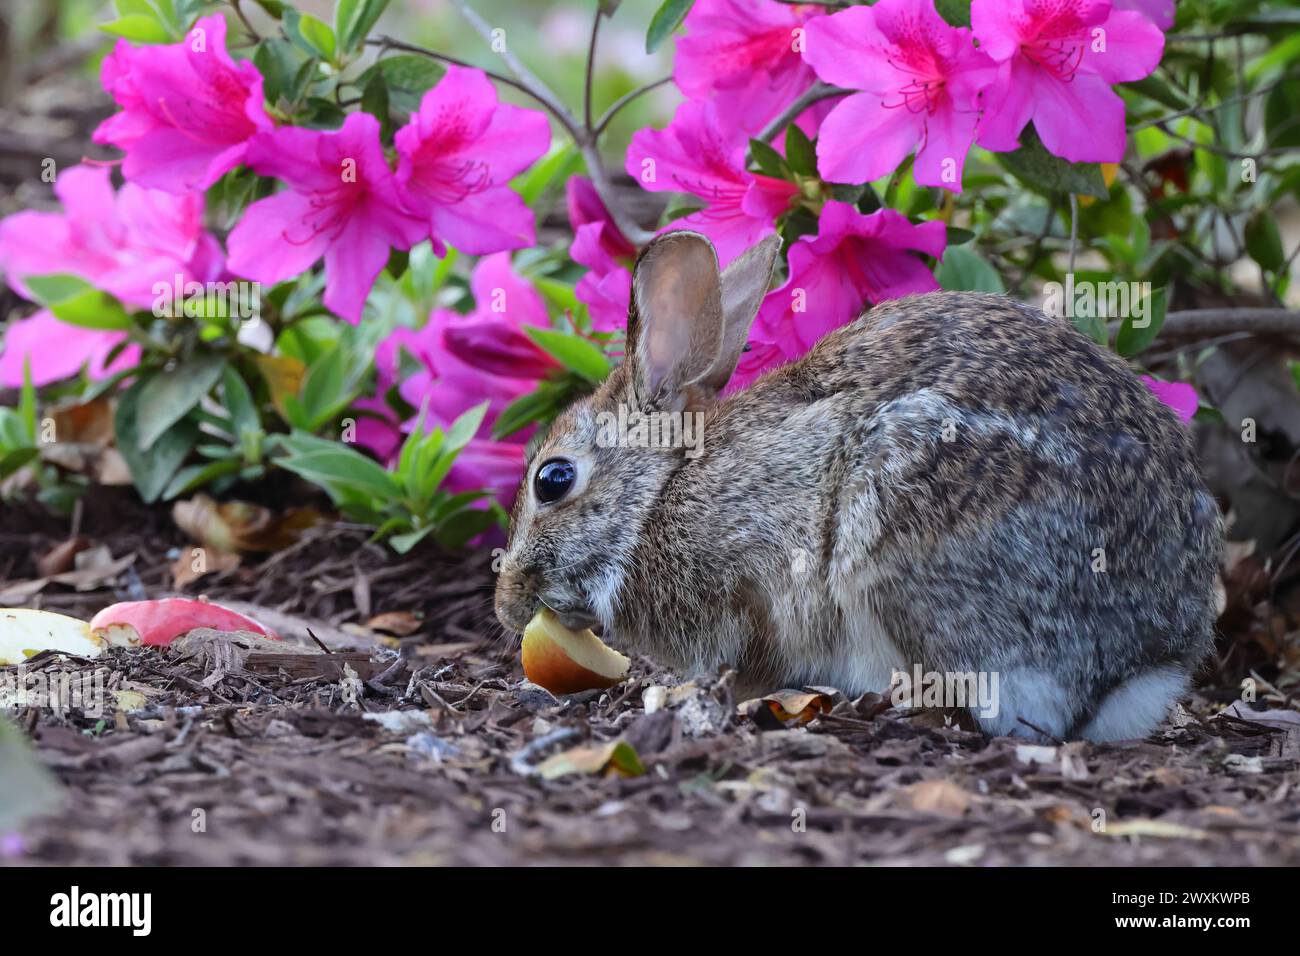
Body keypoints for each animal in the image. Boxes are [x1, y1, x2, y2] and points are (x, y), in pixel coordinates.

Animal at [491, 234, 1222, 749]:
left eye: (553, 479)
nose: (506, 604)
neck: (658, 493)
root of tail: (1140, 663)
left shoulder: (748, 584)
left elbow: (743, 656)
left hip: (905, 548)